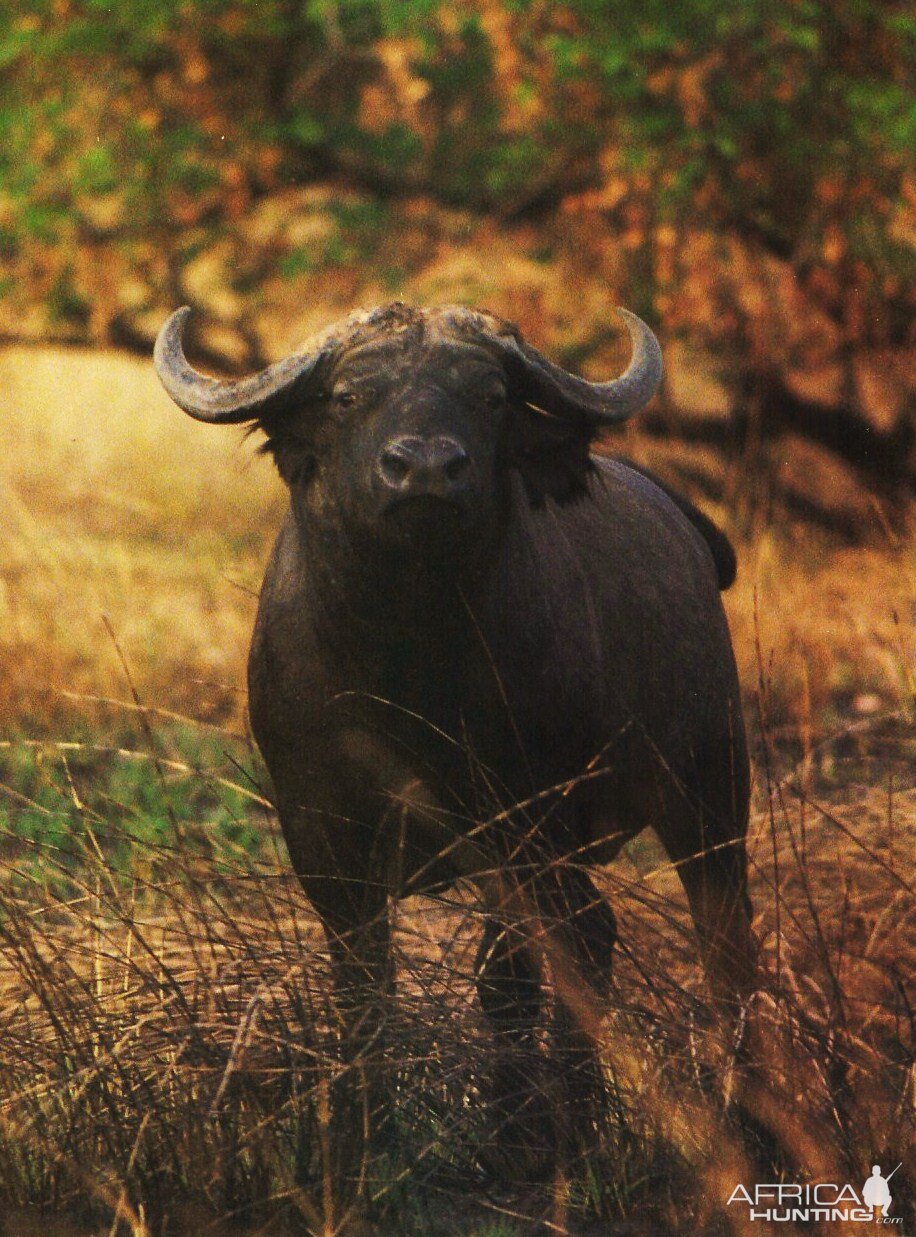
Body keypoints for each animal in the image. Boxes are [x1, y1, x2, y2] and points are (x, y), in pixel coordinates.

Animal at [156, 296, 751, 1167]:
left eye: (492, 396)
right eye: (348, 397)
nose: (427, 468)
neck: (406, 664)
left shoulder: (522, 819)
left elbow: (511, 973)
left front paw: (519, 1135)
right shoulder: (322, 832)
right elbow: (363, 984)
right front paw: (364, 1136)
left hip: (708, 791)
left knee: (715, 941)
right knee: (596, 932)